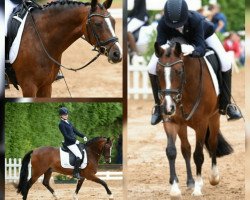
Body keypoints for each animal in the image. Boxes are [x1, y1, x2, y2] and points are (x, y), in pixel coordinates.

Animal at [154, 39, 234, 198]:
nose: (168, 107)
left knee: (212, 143)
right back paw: (190, 181)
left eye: (179, 72)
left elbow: (199, 155)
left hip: (214, 118)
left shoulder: (201, 124)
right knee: (186, 149)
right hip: (183, 124)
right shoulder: (171, 122)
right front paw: (175, 189)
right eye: (158, 72)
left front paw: (197, 189)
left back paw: (213, 178)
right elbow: (171, 151)